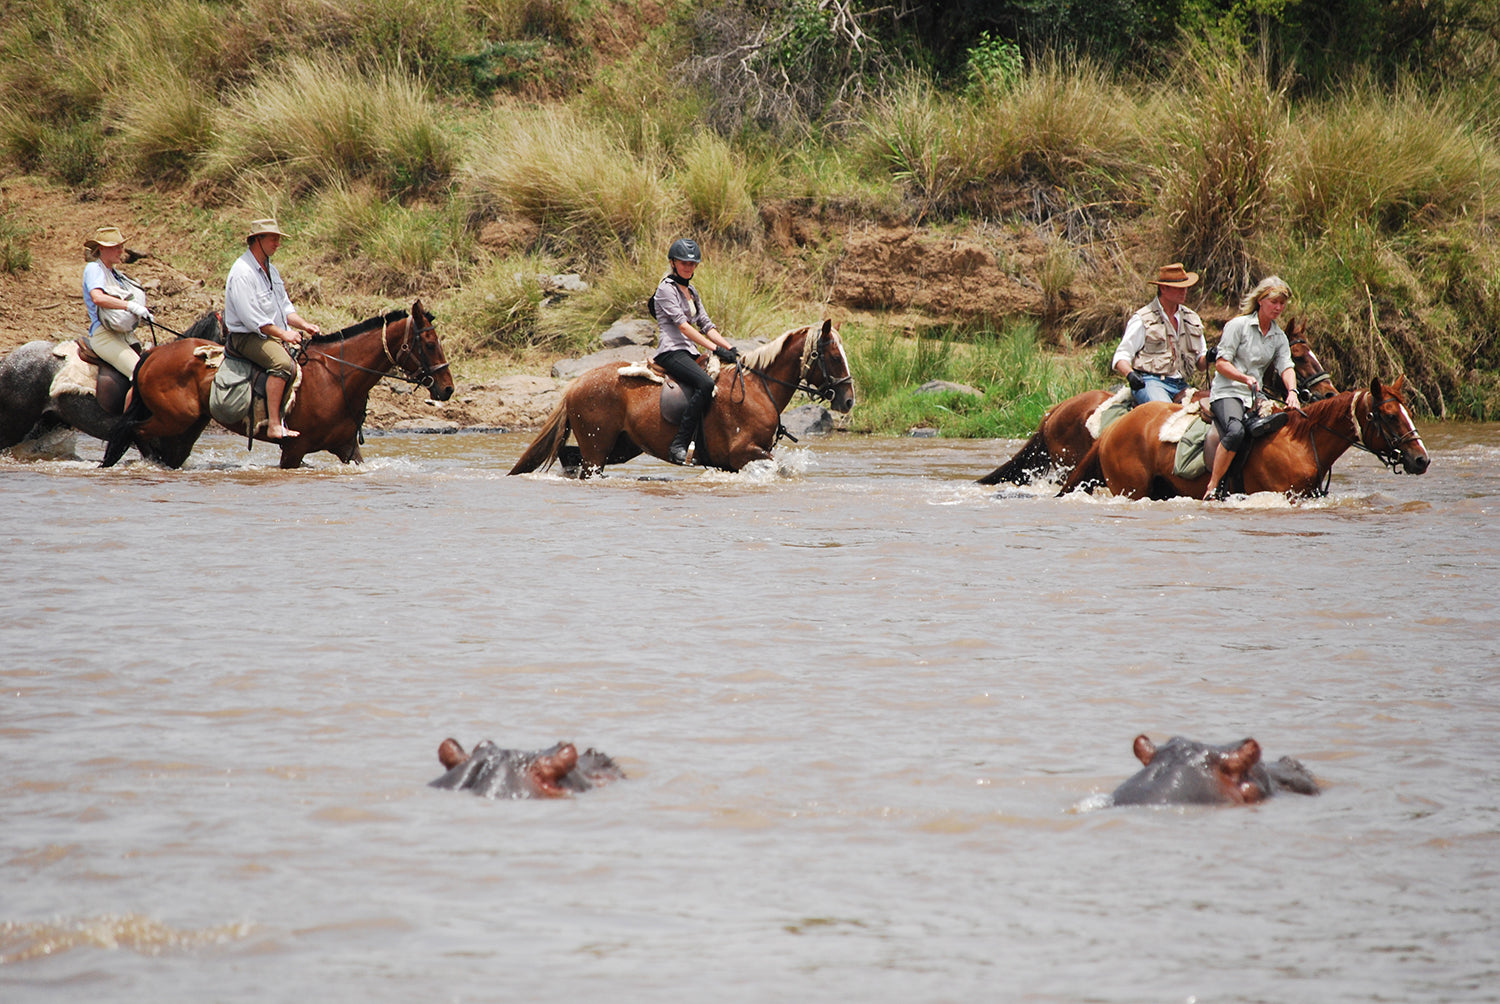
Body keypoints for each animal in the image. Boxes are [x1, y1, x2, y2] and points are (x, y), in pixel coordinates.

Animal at [103, 300, 447, 468]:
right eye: (430, 344)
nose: (447, 388)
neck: (337, 377)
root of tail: (154, 354)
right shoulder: (294, 450)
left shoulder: (347, 448)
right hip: (172, 419)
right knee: (134, 431)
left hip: (187, 424)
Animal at [507, 321, 852, 477]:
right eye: (835, 356)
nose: (848, 401)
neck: (757, 389)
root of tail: (576, 384)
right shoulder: (744, 453)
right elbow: (779, 468)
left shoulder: (732, 463)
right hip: (598, 444)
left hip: (621, 446)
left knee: (569, 456)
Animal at [1056, 375, 1428, 501]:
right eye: (1390, 415)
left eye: (1407, 411)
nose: (1421, 459)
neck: (1301, 444)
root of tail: (1110, 431)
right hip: (1132, 490)